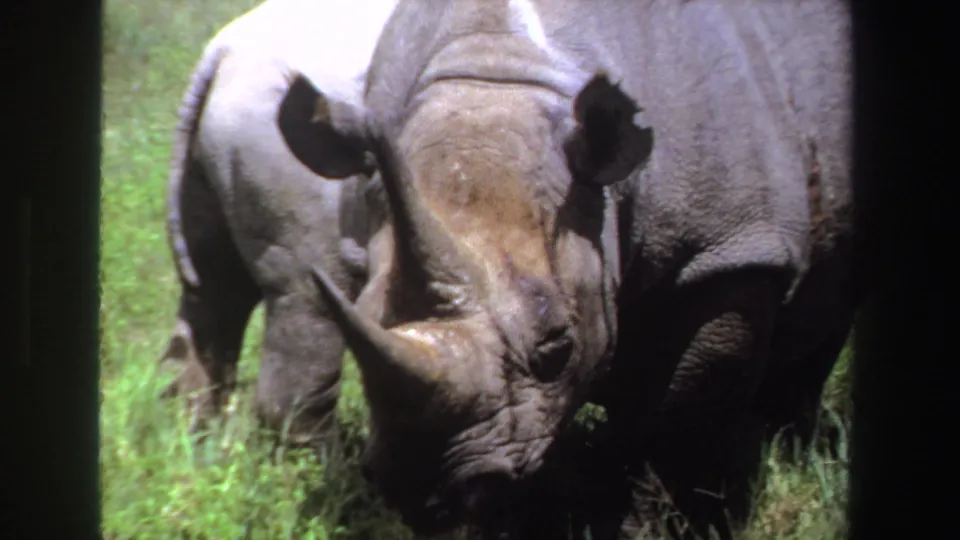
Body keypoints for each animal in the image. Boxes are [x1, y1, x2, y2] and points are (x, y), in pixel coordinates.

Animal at [157, 0, 398, 453]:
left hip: (212, 161)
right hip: (288, 162)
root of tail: (222, 53)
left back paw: (193, 450)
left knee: (212, 294)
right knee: (308, 300)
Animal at [278, 0, 857, 538]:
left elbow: (670, 427)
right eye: (359, 319)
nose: (424, 496)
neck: (497, 74)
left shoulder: (725, 254)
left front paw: (644, 528)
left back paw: (790, 452)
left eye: (558, 347)